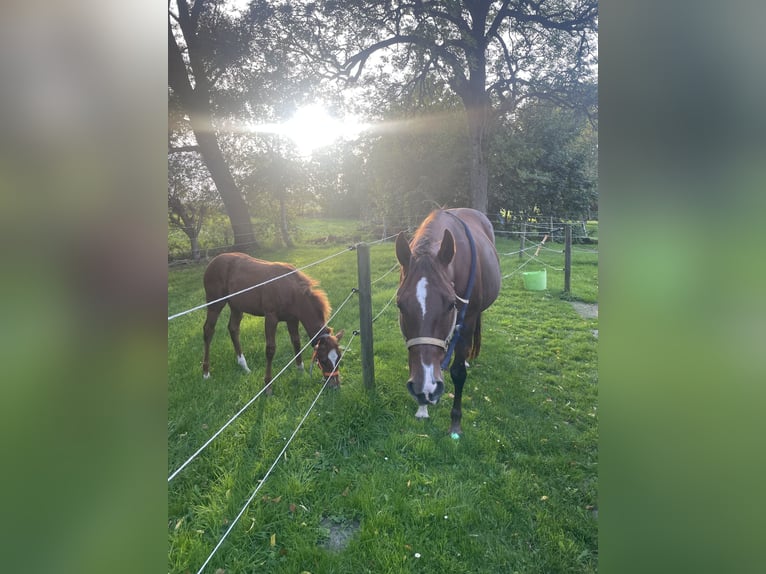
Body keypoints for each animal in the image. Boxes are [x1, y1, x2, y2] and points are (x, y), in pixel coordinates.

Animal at [201, 252, 344, 392]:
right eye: (323, 359)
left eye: (338, 357)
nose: (335, 385)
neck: (292, 291)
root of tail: (213, 262)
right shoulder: (271, 317)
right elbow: (270, 349)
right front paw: (268, 385)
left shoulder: (292, 319)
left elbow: (296, 342)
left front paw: (301, 371)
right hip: (215, 304)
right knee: (208, 330)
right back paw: (206, 373)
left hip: (237, 307)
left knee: (233, 329)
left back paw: (244, 366)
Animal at [395, 208, 501, 436]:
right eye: (400, 305)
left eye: (451, 304)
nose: (426, 387)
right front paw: (422, 407)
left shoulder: (467, 320)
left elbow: (458, 372)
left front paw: (455, 422)